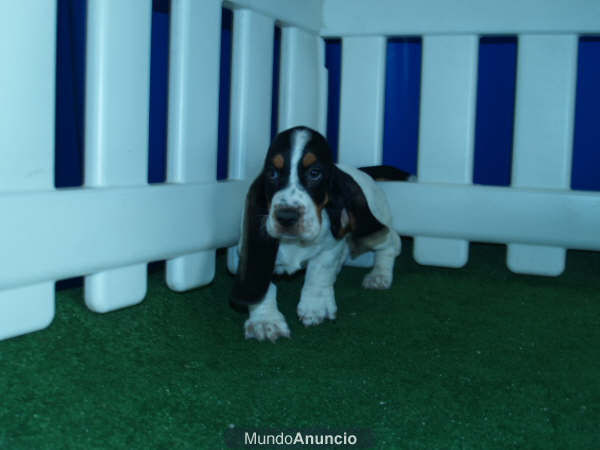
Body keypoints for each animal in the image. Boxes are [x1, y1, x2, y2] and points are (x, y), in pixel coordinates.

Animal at [230, 125, 412, 342]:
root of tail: (360, 170)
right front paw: (266, 322)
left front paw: (315, 307)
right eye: (272, 173)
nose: (286, 217)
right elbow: (266, 285)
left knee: (392, 243)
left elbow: (318, 274)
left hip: (373, 230)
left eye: (315, 173)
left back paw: (379, 275)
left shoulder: (331, 247)